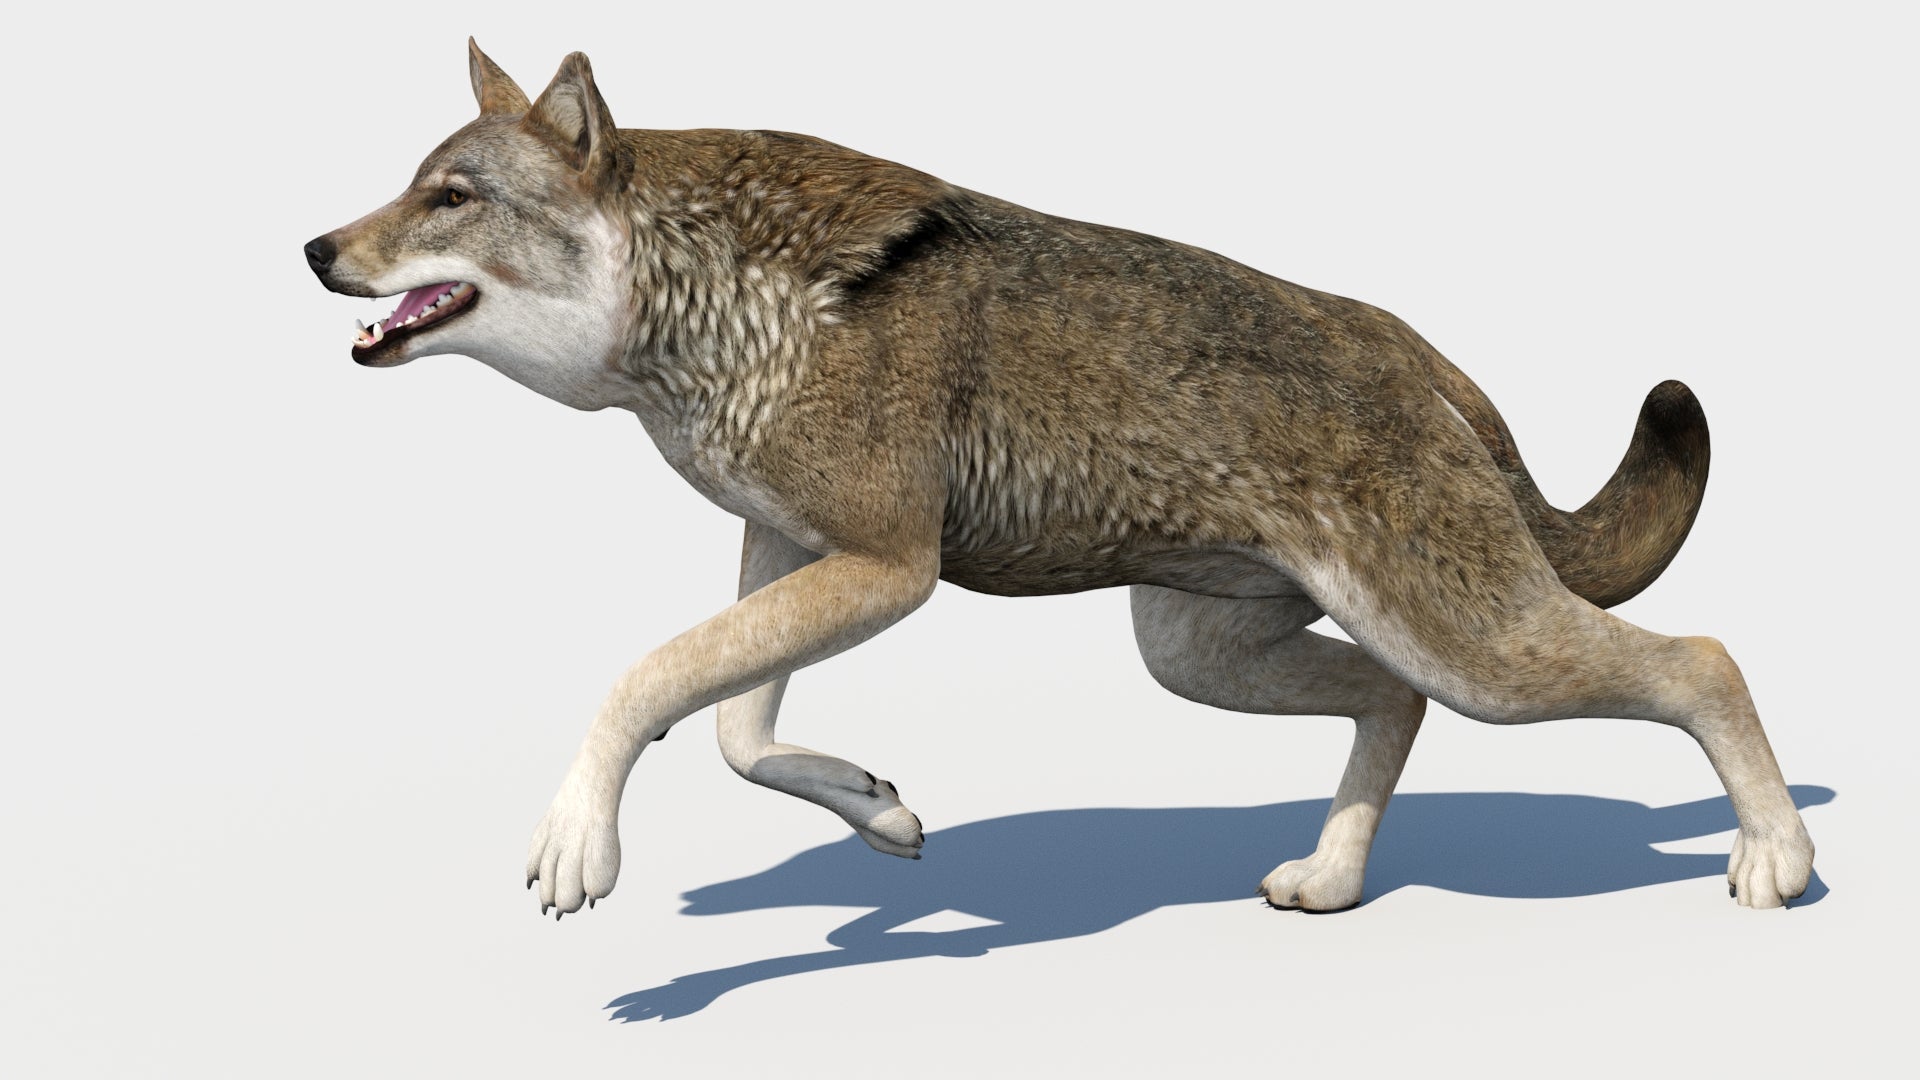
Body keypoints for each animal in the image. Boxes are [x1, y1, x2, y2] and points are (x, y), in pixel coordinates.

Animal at [305, 40, 1813, 918]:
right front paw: (879, 810)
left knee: (1702, 659)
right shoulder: (789, 555)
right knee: (1395, 704)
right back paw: (1331, 879)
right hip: (1203, 656)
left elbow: (643, 683)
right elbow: (733, 731)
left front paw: (580, 843)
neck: (705, 303)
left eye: (450, 198)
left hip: (1482, 650)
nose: (315, 250)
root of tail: (1387, 330)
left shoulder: (884, 571)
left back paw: (1776, 862)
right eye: (411, 184)